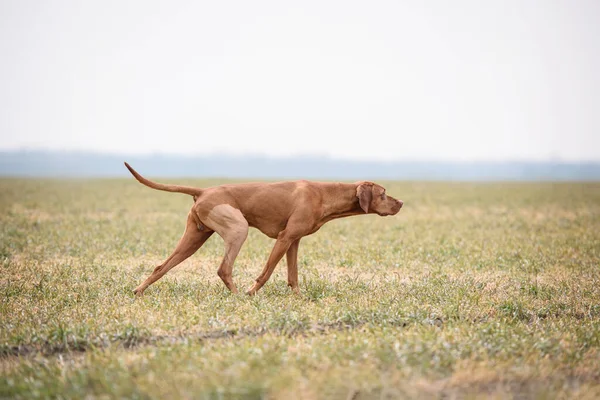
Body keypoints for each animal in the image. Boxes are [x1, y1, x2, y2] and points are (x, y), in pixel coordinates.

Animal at [125, 161, 404, 296]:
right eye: (383, 193)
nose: (401, 203)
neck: (325, 194)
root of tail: (203, 190)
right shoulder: (284, 237)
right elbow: (266, 273)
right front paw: (252, 293)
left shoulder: (294, 241)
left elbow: (293, 276)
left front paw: (298, 298)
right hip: (238, 229)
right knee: (224, 269)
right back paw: (239, 297)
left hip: (194, 237)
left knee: (161, 266)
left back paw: (139, 291)